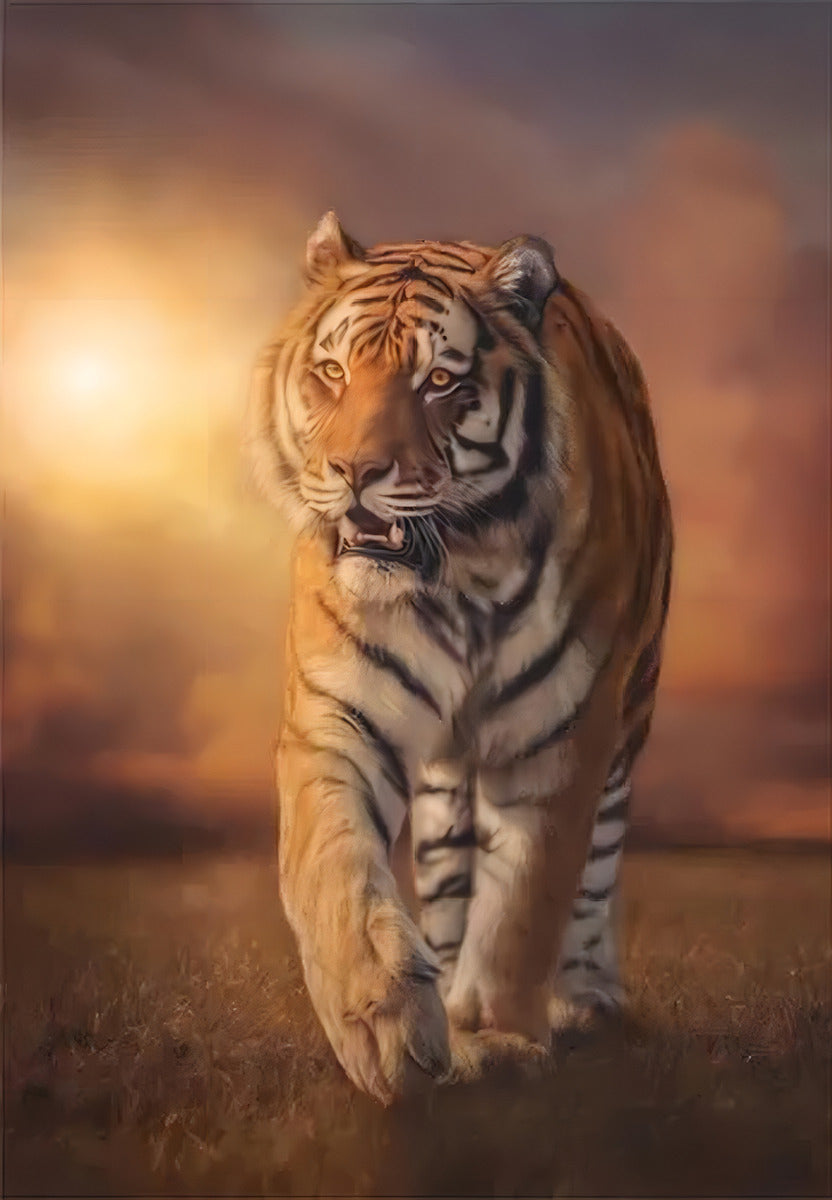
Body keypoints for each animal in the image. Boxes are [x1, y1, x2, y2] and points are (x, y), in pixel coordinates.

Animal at [248, 211, 673, 1105]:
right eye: (333, 371)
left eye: (439, 381)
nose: (355, 472)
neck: (457, 576)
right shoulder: (337, 715)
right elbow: (332, 861)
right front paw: (383, 1023)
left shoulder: (561, 739)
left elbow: (525, 905)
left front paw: (498, 1035)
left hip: (629, 719)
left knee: (596, 870)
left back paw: (585, 998)